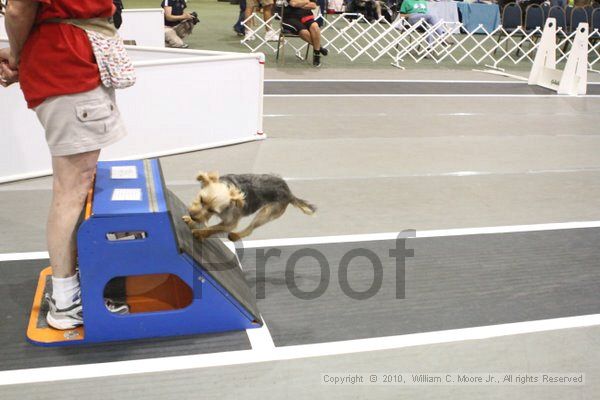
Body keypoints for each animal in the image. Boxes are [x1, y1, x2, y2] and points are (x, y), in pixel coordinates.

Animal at [183, 171, 316, 241]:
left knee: (250, 229)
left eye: (212, 210)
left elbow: (213, 228)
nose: (192, 216)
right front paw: (191, 220)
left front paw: (200, 232)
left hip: (266, 213)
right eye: (201, 199)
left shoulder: (230, 223)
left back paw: (236, 235)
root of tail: (289, 193)